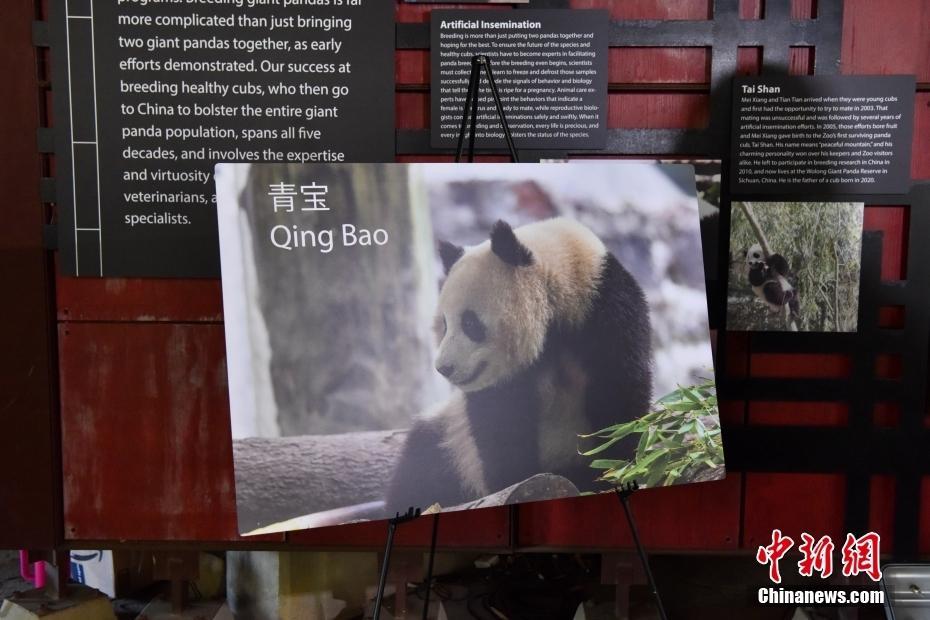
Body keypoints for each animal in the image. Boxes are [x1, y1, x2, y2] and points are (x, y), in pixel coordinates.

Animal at [384, 220, 652, 512]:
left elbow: (618, 399)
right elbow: (501, 433)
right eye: (444, 325)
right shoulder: (502, 386)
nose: (444, 367)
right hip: (450, 440)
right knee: (421, 468)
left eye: (470, 323)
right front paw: (514, 481)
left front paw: (616, 468)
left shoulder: (606, 313)